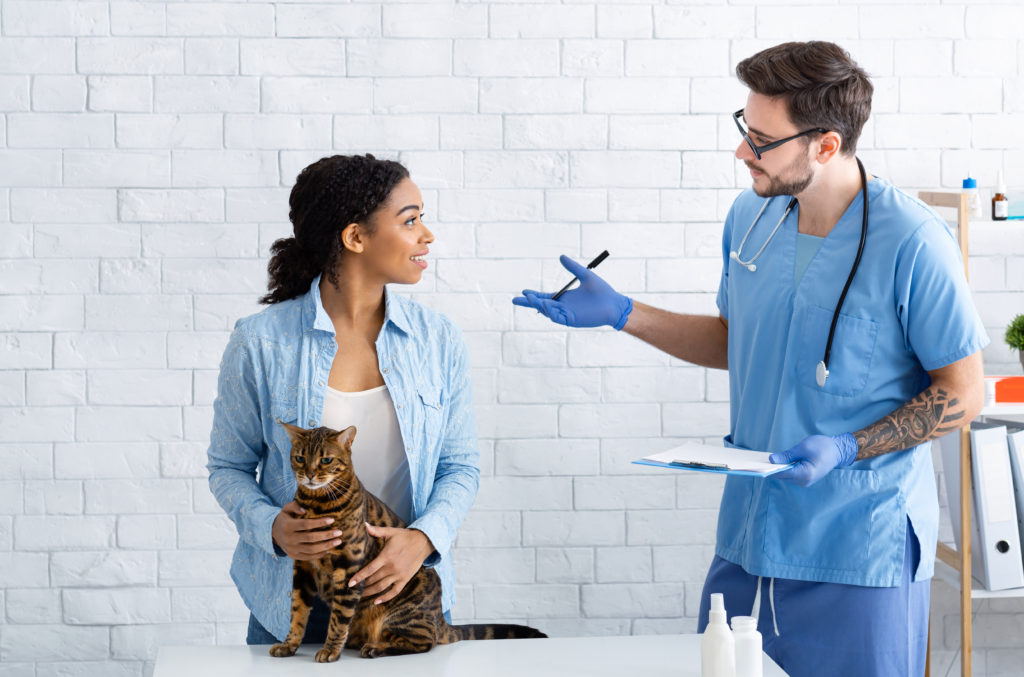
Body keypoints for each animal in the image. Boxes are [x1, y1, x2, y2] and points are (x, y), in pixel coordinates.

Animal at [268, 421, 548, 659]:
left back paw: (376, 648)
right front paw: (289, 644)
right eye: (300, 458)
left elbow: (338, 619)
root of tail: (440, 619)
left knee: (425, 642)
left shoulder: (348, 569)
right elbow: (297, 613)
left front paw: (330, 650)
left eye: (326, 460)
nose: (309, 475)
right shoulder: (303, 568)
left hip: (400, 613)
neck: (315, 505)